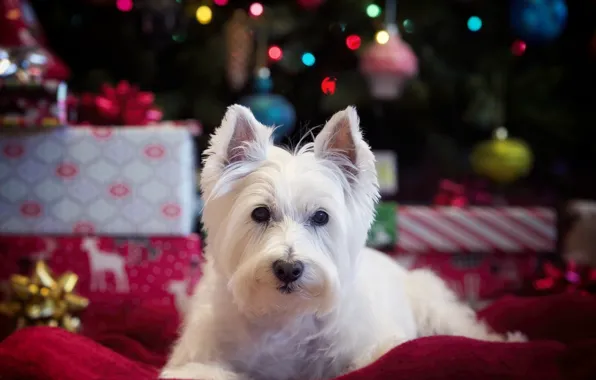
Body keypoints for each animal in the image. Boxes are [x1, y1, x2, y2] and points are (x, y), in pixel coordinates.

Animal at [159, 105, 528, 380]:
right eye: (260, 213)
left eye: (321, 217)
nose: (289, 269)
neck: (285, 316)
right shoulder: (195, 359)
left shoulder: (375, 346)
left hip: (431, 301)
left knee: (465, 330)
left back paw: (509, 339)